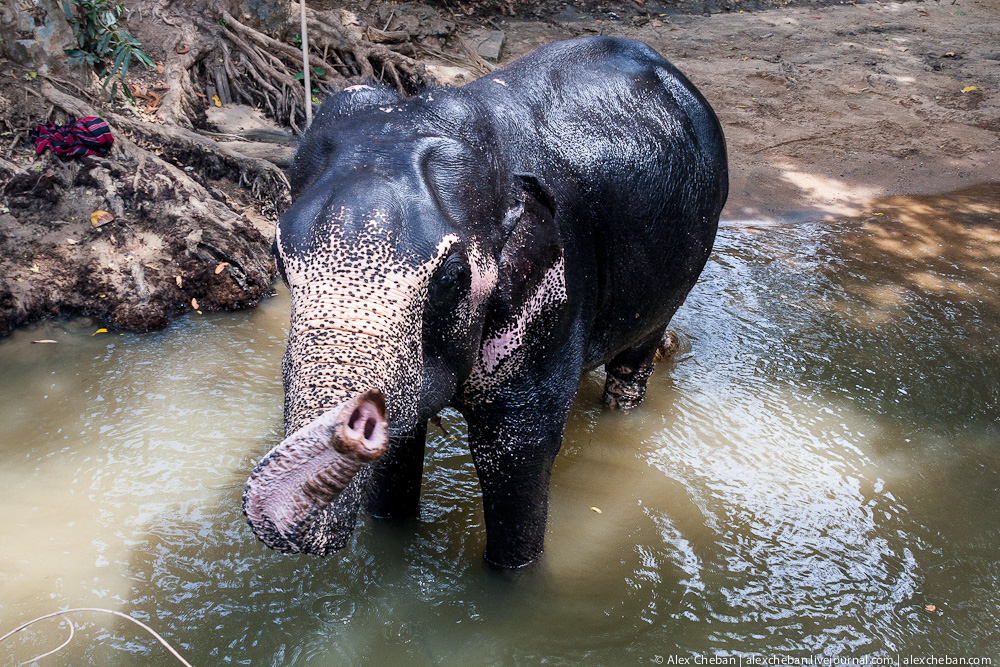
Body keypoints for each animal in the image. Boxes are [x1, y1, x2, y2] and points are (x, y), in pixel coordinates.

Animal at [242, 35, 728, 568]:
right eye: (278, 259)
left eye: (452, 277)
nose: (357, 419)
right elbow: (400, 453)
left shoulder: (553, 295)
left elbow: (517, 454)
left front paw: (513, 578)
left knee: (635, 360)